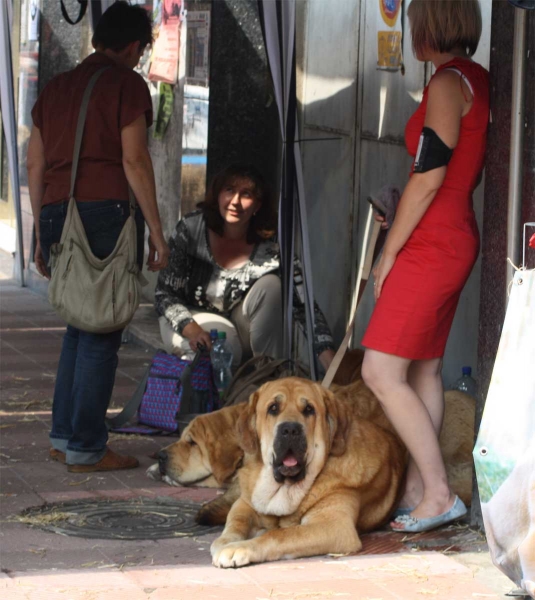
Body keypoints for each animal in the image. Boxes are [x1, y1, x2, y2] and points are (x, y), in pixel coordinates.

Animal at [211, 378, 404, 568]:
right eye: (273, 408)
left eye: (309, 409)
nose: (290, 429)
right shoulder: (245, 502)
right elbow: (236, 521)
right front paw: (224, 541)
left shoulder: (334, 525)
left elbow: (280, 535)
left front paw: (238, 548)